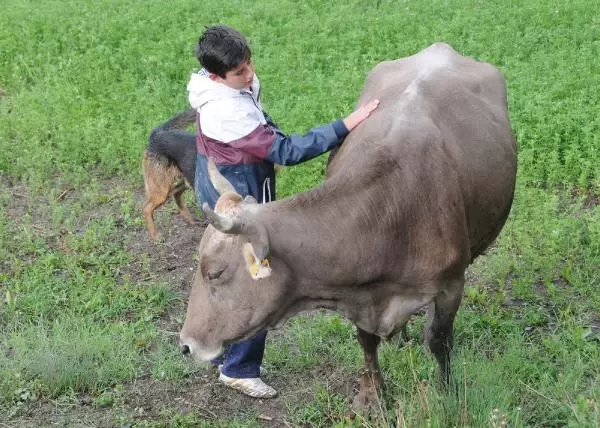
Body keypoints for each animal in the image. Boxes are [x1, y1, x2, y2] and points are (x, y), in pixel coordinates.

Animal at [142, 108, 198, 241]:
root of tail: (157, 133)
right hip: (161, 191)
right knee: (146, 209)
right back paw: (155, 235)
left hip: (185, 181)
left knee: (176, 193)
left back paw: (191, 220)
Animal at [177, 42, 516, 412]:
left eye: (214, 273)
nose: (186, 345)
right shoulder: (358, 294)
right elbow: (366, 341)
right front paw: (372, 395)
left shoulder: (451, 285)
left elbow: (439, 340)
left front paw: (447, 392)